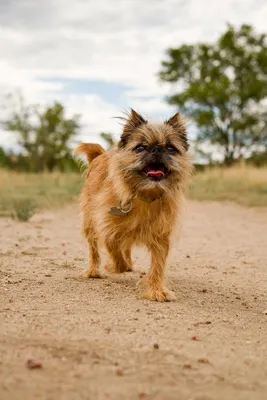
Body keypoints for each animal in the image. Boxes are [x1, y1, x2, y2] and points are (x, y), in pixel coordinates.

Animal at [75, 108, 193, 302]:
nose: (157, 149)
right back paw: (93, 270)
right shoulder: (108, 228)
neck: (146, 195)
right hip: (89, 223)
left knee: (126, 246)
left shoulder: (161, 236)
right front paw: (112, 267)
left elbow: (158, 264)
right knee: (94, 248)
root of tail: (99, 156)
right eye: (140, 148)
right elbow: (115, 252)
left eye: (170, 148)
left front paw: (156, 289)